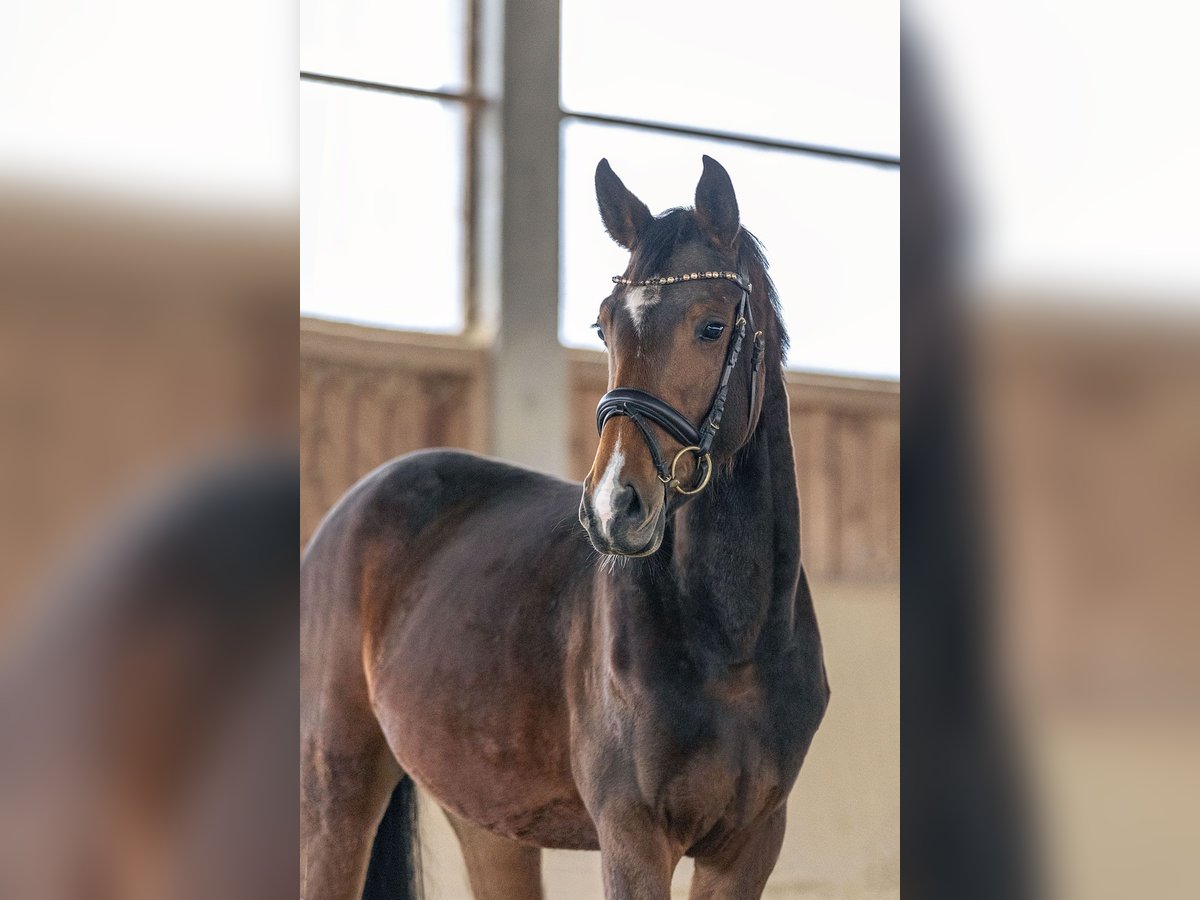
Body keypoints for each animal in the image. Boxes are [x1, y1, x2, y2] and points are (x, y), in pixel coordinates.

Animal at [302, 158, 825, 897]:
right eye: (605, 327)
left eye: (712, 326)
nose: (614, 507)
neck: (733, 642)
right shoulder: (633, 835)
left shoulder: (750, 844)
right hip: (337, 785)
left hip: (489, 819)